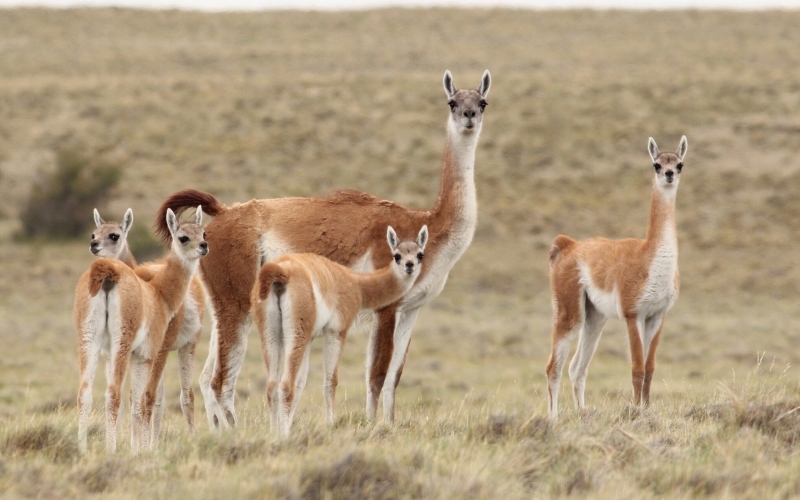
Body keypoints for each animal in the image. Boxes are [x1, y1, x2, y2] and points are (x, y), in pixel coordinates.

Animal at [253, 225, 428, 436]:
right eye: (397, 255)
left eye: (419, 254)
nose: (409, 265)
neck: (357, 283)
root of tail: (281, 271)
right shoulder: (337, 331)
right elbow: (331, 381)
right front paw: (330, 424)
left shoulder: (311, 338)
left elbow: (302, 382)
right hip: (297, 332)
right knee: (285, 385)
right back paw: (284, 436)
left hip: (271, 333)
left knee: (272, 385)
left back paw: (273, 433)